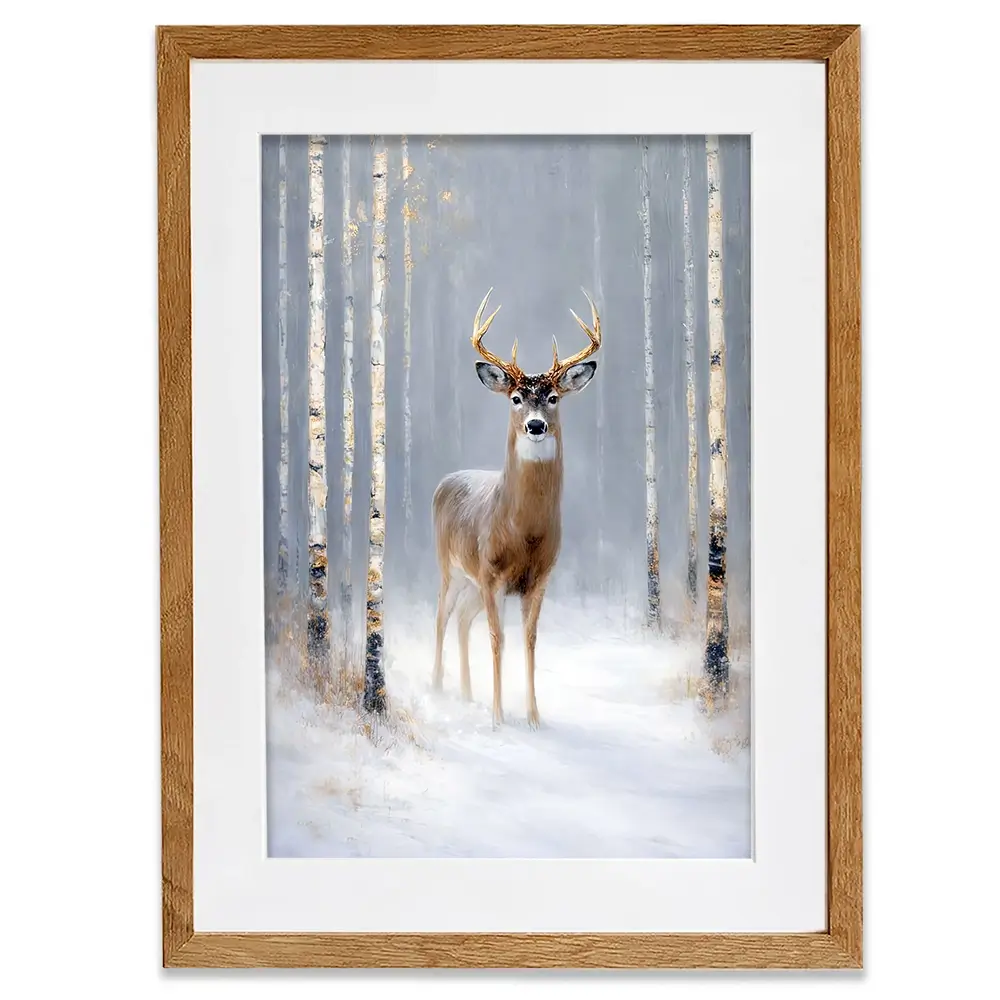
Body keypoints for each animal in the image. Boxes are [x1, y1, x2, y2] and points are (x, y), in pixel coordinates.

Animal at [431, 288, 602, 728]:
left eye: (554, 397)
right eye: (516, 398)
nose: (536, 425)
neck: (523, 532)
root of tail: (444, 480)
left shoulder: (538, 579)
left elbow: (529, 639)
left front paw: (533, 717)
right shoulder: (491, 575)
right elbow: (497, 638)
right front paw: (497, 717)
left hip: (472, 583)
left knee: (461, 619)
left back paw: (467, 693)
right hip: (451, 567)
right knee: (442, 616)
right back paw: (437, 686)